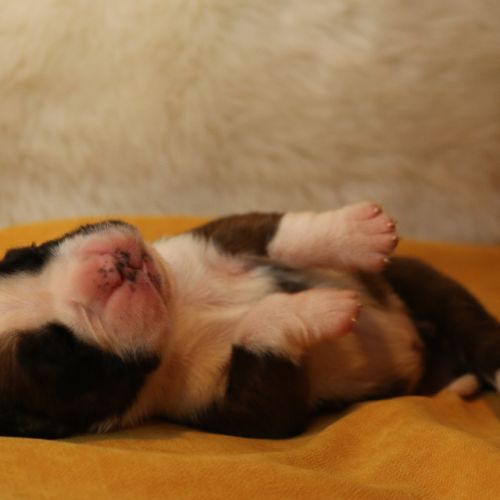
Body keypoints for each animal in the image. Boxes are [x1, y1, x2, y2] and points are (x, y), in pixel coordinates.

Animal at [0, 202, 499, 439]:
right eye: (59, 354)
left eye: (26, 254)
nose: (112, 267)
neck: (179, 312)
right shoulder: (249, 406)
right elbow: (258, 327)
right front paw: (326, 308)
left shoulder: (222, 236)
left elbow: (280, 233)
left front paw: (359, 232)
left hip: (423, 282)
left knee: (471, 326)